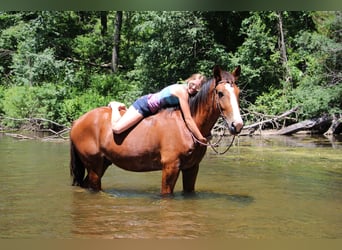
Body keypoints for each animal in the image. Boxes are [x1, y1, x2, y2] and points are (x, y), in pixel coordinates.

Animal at [69, 65, 243, 195]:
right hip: (94, 166)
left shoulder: (191, 168)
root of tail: (77, 122)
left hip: (103, 163)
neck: (186, 127)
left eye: (238, 93)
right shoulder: (170, 167)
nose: (237, 125)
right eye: (220, 93)